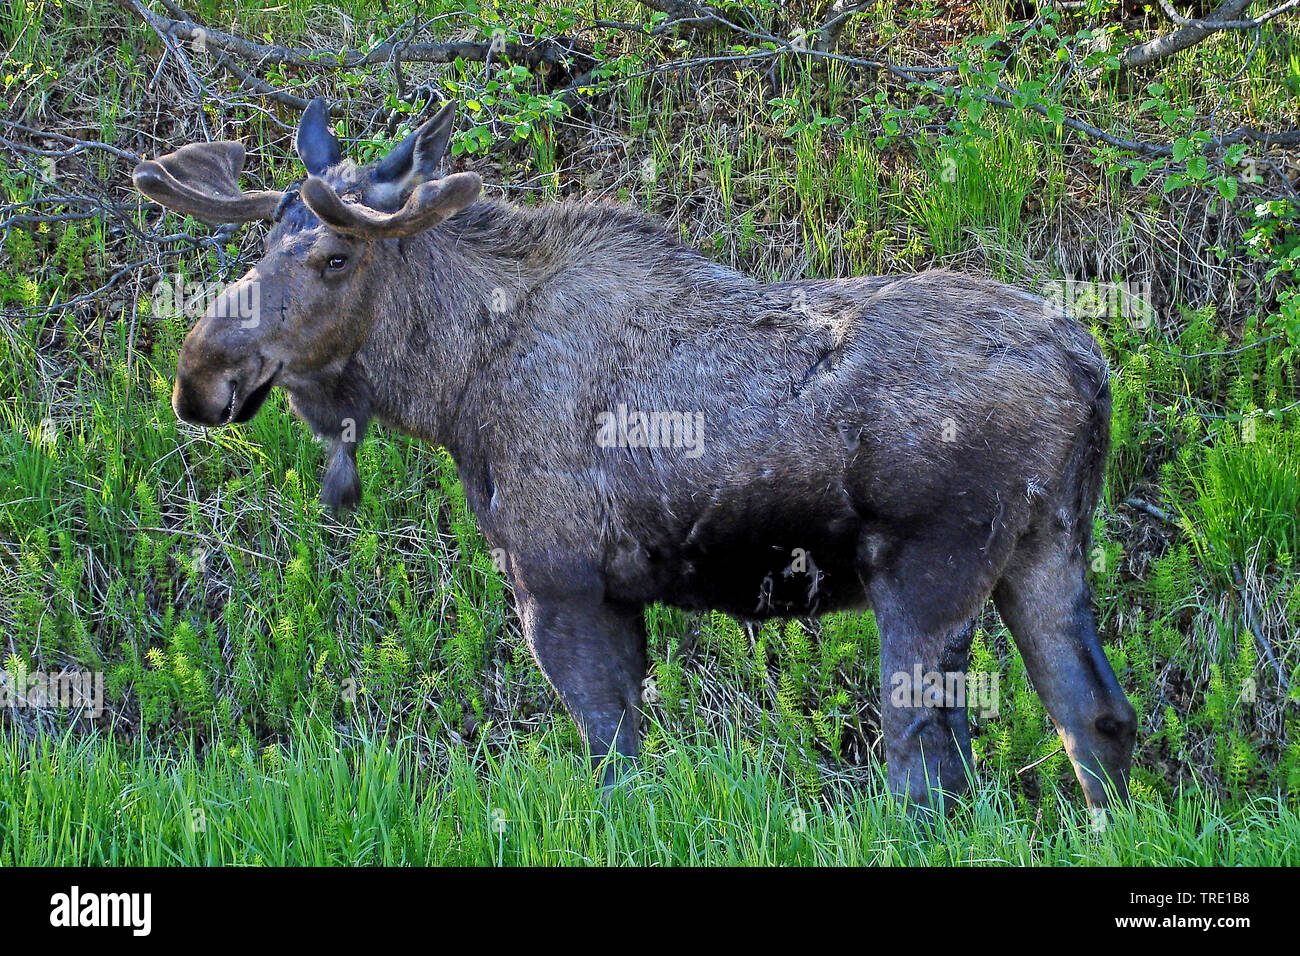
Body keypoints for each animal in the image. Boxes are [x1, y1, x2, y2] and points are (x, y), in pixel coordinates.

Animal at [126, 100, 1133, 811]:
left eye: (336, 259)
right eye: (262, 244)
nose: (200, 374)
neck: (453, 387)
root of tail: (1090, 369)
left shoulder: (559, 580)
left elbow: (615, 764)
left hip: (930, 573)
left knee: (929, 772)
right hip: (1046, 547)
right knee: (1097, 717)